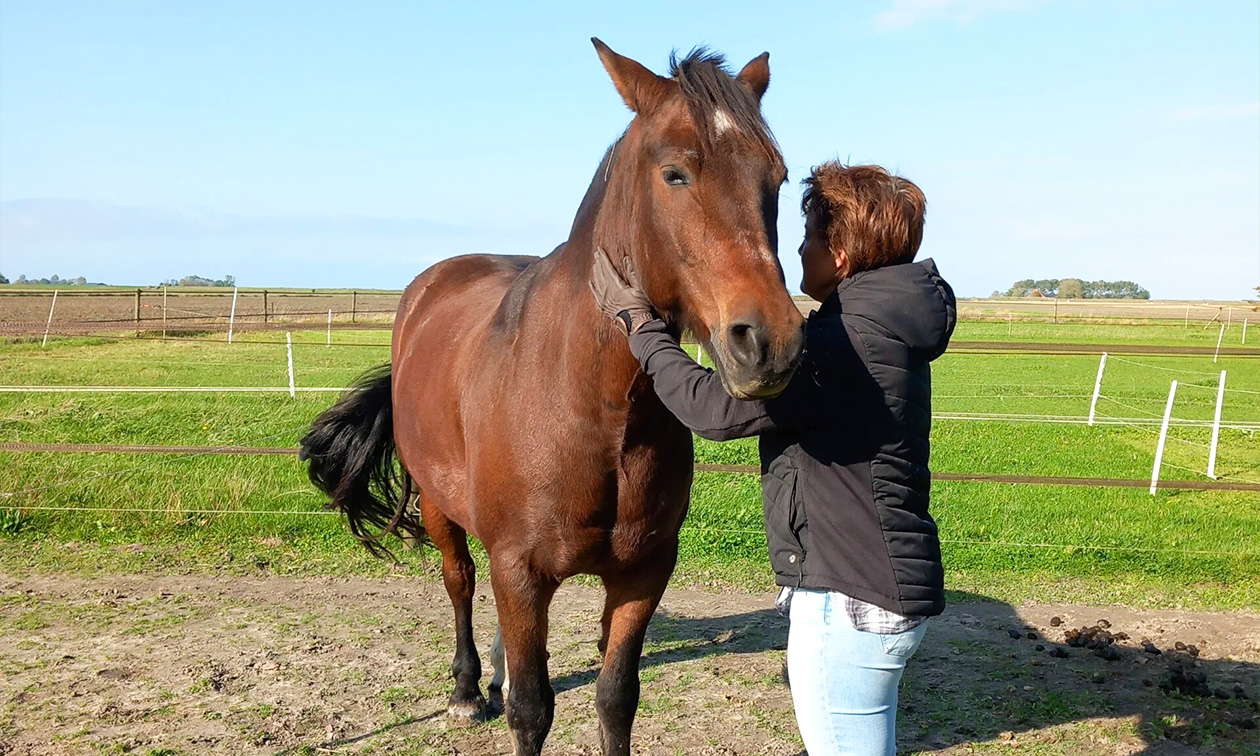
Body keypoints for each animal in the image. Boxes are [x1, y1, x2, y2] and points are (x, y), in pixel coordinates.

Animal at [300, 39, 805, 756]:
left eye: (778, 178)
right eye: (675, 173)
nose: (769, 343)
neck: (597, 413)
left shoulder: (642, 572)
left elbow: (616, 698)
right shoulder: (520, 569)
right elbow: (533, 710)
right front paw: (497, 693)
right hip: (439, 507)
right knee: (460, 582)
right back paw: (466, 688)